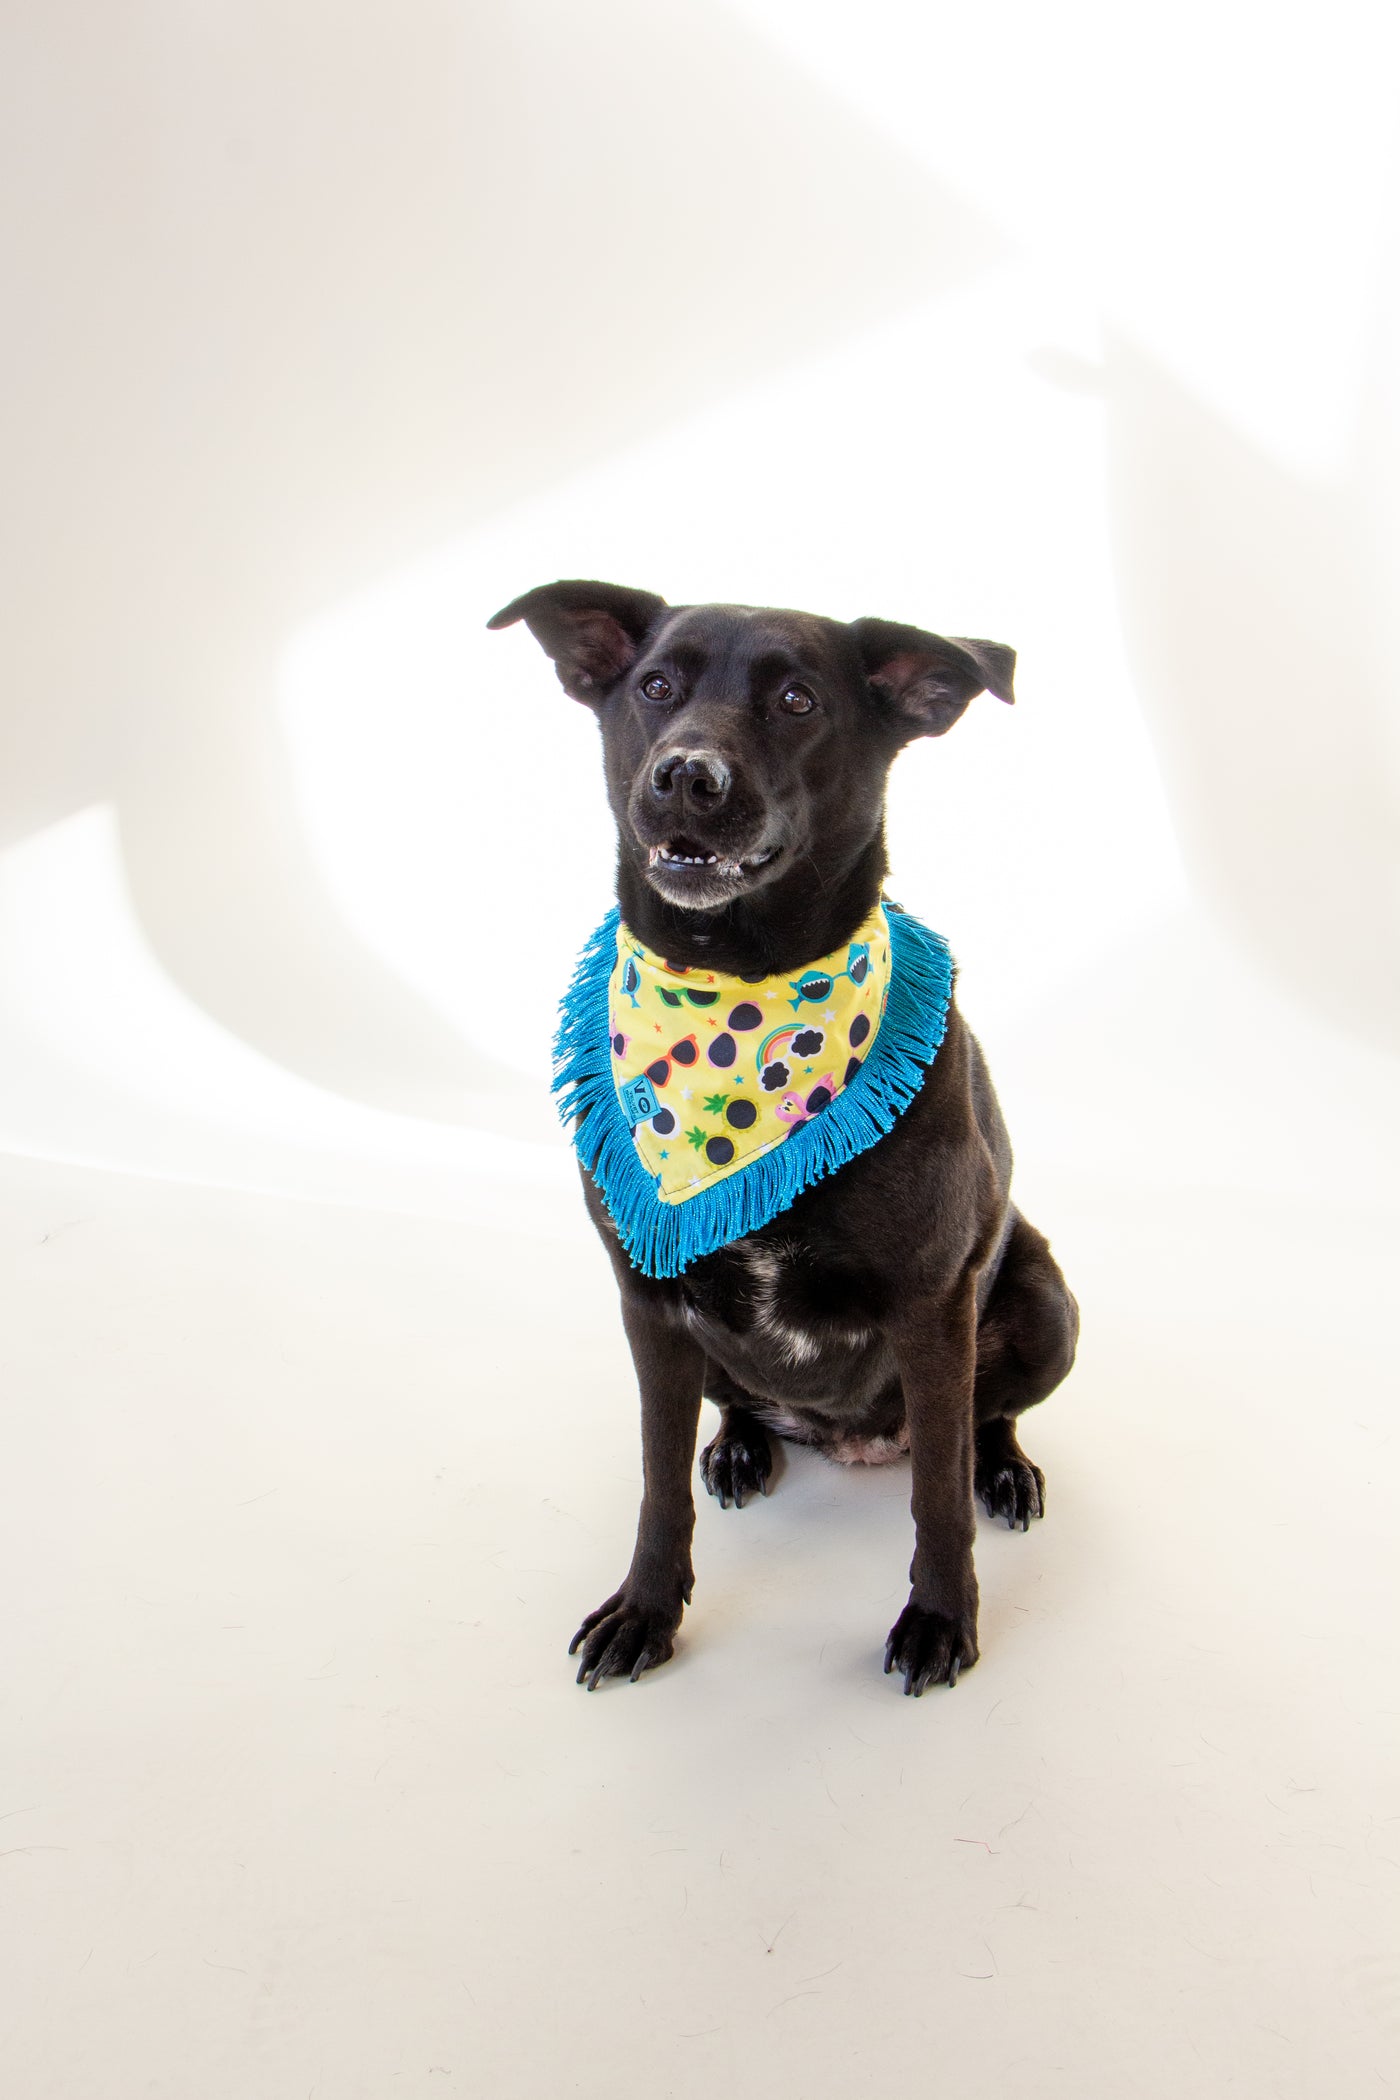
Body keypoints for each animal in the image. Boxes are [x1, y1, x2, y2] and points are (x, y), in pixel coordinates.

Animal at [486, 575, 1083, 1688]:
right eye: (656, 685)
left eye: (798, 701)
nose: (685, 775)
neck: (738, 988)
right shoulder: (646, 1301)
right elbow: (656, 1483)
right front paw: (646, 1610)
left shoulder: (932, 1305)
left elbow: (937, 1493)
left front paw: (940, 1617)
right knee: (733, 1408)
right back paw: (737, 1447)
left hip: (1043, 1305)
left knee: (984, 1421)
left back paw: (1006, 1471)